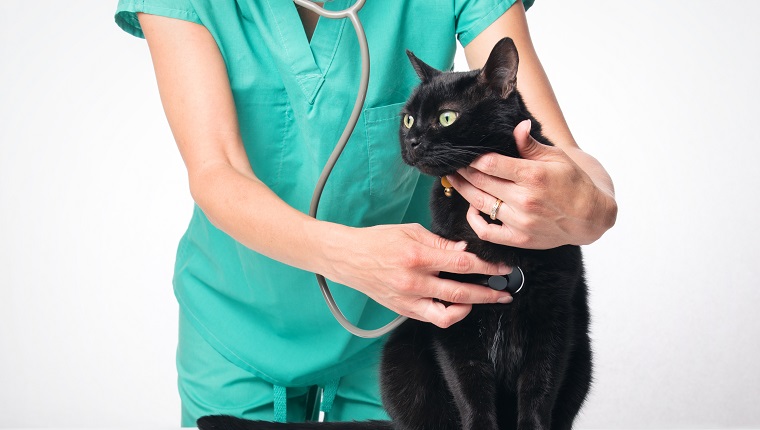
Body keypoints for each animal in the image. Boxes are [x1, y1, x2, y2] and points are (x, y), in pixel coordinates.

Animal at [196, 36, 592, 430]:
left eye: (446, 117)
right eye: (408, 118)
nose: (412, 140)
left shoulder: (553, 319)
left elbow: (538, 392)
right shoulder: (453, 319)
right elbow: (471, 390)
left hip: (581, 358)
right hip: (402, 358)